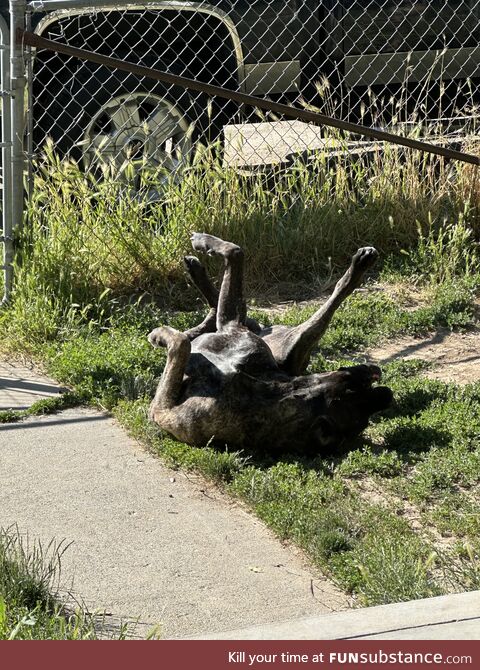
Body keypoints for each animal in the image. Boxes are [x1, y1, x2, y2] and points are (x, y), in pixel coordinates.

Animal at [148, 235, 392, 452]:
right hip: (288, 341)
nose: (377, 375)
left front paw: (160, 334)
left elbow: (181, 342)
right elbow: (235, 260)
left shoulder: (162, 410)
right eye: (356, 383)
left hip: (290, 338)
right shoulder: (236, 331)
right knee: (235, 309)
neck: (273, 393)